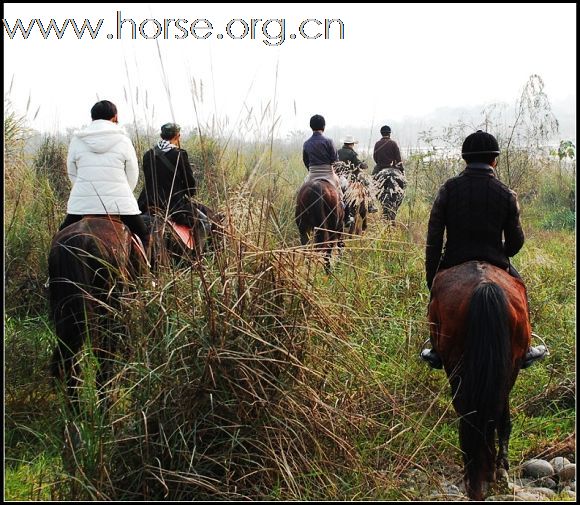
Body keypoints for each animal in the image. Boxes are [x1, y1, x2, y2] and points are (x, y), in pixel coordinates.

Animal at [49, 216, 145, 410]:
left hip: (66, 315)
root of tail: (80, 240)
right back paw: (105, 407)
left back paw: (76, 409)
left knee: (70, 361)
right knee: (104, 358)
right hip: (110, 309)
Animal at [426, 262, 532, 498]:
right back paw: (493, 470)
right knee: (496, 413)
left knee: (471, 415)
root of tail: (484, 286)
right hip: (508, 366)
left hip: (457, 367)